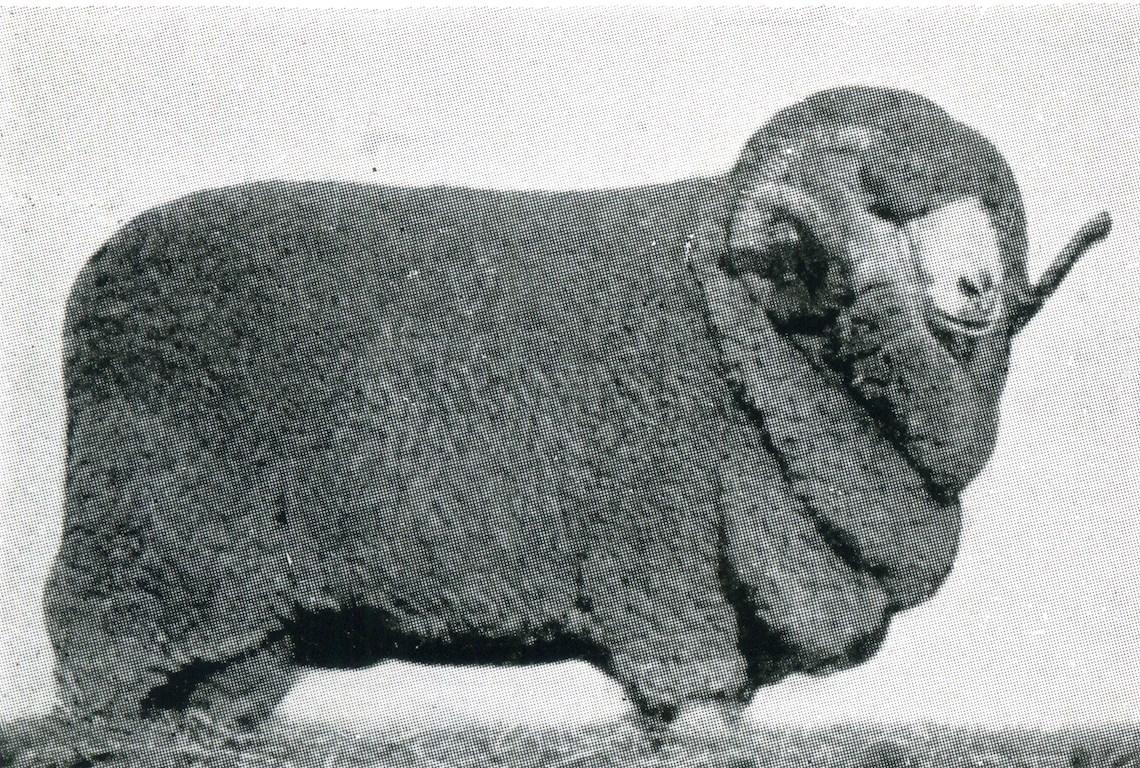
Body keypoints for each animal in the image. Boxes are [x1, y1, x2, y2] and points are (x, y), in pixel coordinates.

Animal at [46, 85, 1112, 729]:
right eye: (885, 215)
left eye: (983, 218)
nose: (980, 286)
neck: (741, 323)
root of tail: (94, 278)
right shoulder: (658, 544)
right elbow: (690, 681)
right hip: (144, 534)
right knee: (92, 646)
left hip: (243, 598)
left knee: (224, 684)